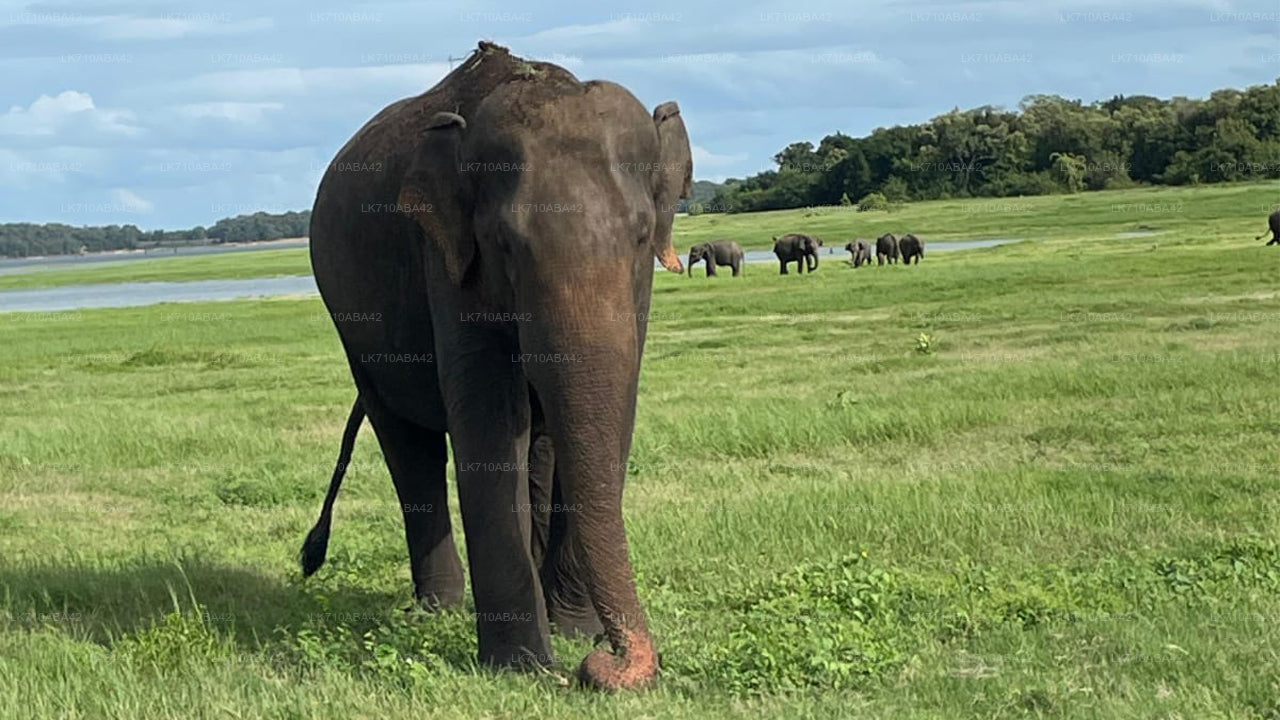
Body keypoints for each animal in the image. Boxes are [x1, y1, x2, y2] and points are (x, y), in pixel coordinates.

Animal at [300, 41, 690, 692]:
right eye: (506, 245)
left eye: (640, 237)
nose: (606, 664)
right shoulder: (446, 259)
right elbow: (488, 421)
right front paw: (523, 667)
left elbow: (613, 406)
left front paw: (573, 635)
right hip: (352, 326)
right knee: (409, 448)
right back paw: (439, 609)